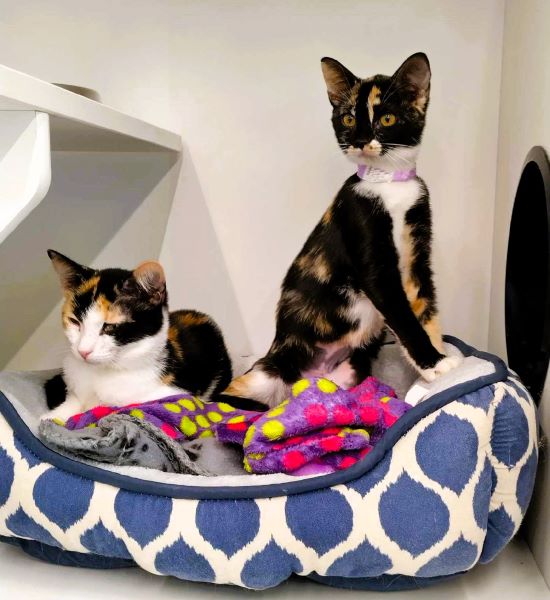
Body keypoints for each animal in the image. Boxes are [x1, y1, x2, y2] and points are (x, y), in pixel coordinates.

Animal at [224, 52, 460, 407]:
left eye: (386, 118)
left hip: (348, 371)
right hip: (265, 372)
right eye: (348, 119)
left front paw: (440, 364)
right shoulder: (367, 244)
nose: (359, 140)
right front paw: (435, 364)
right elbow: (402, 314)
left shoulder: (418, 257)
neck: (389, 184)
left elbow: (425, 309)